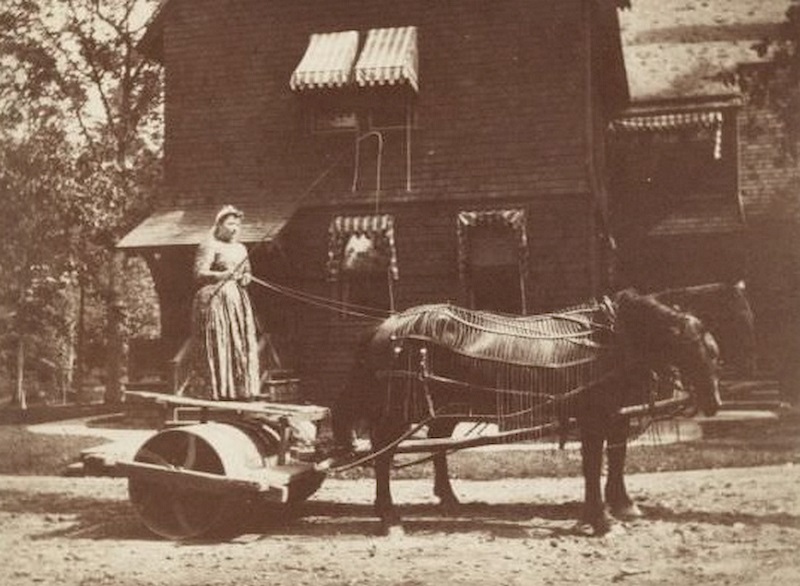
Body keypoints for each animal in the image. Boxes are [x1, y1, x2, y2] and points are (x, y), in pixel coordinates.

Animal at [334, 288, 720, 532]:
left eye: (713, 352)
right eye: (691, 349)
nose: (713, 402)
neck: (610, 340)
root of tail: (384, 326)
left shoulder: (614, 413)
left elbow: (615, 457)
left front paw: (621, 506)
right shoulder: (594, 416)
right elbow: (594, 463)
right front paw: (600, 519)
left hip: (445, 405)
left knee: (436, 443)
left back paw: (448, 500)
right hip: (400, 409)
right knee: (384, 454)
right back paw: (389, 516)